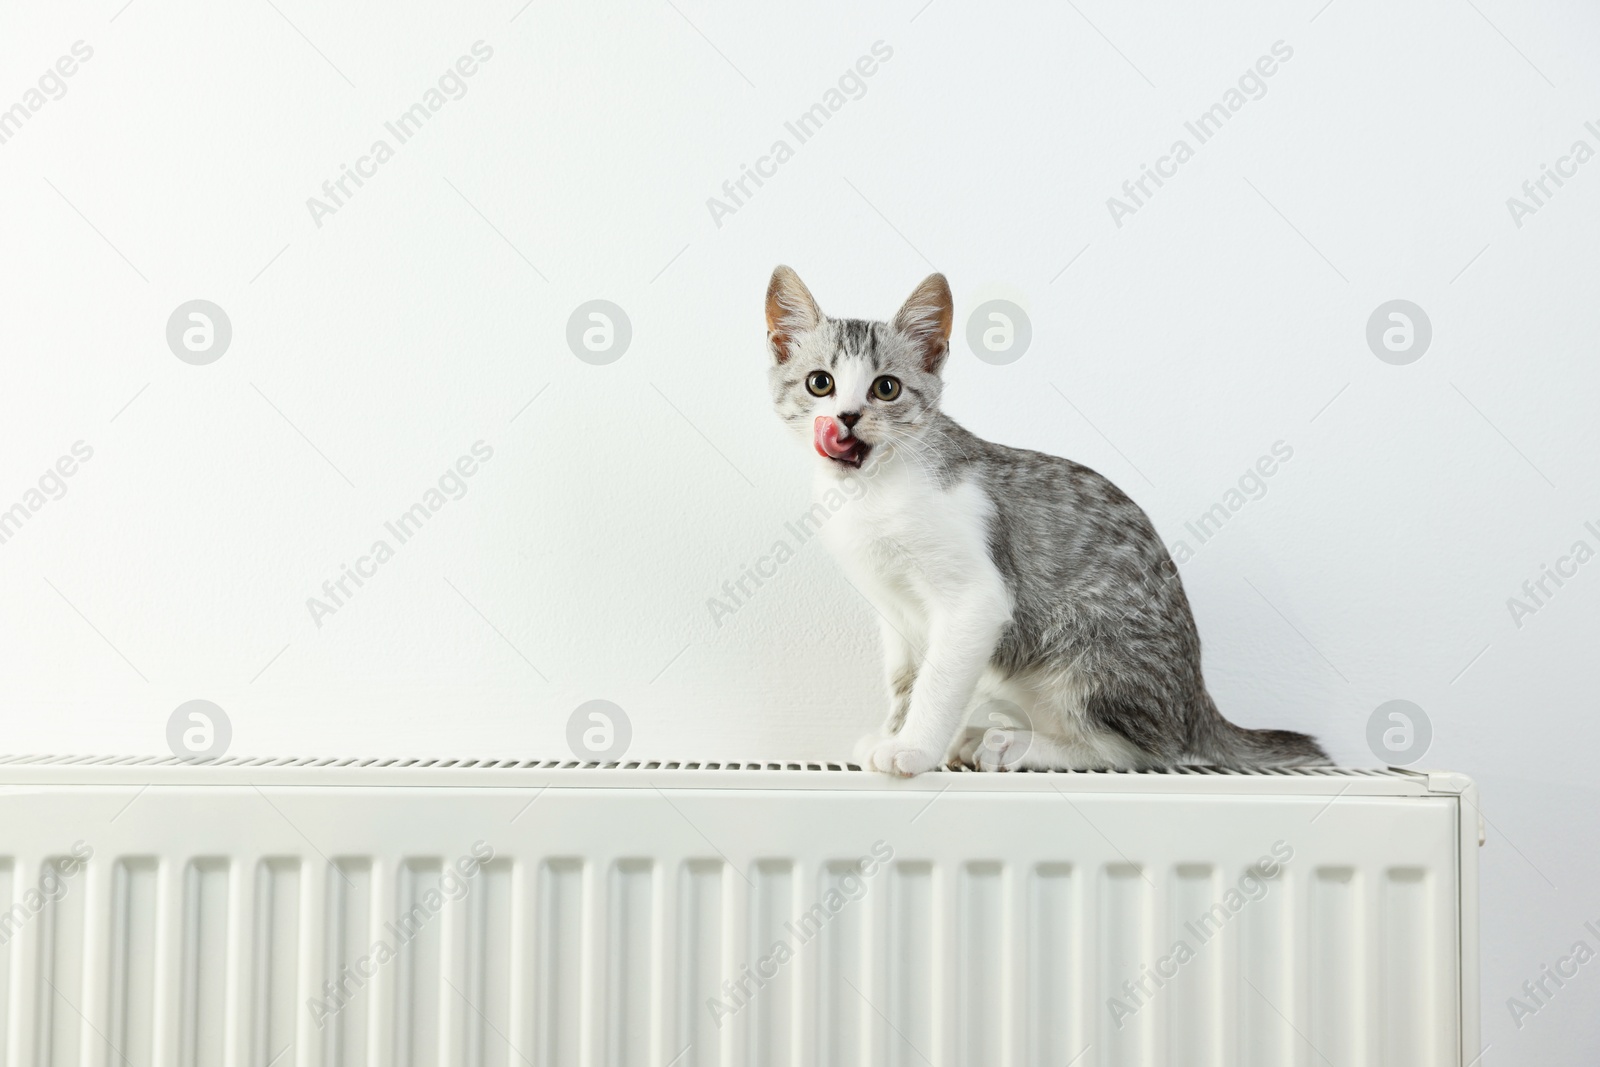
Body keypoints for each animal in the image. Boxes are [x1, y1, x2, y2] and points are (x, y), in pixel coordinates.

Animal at [768, 267, 1331, 780]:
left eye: (886, 388)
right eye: (820, 383)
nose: (846, 417)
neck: (873, 489)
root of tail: (1196, 700)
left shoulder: (977, 601)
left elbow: (937, 681)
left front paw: (912, 748)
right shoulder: (895, 611)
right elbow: (905, 680)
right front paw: (892, 732)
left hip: (1088, 646)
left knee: (1138, 751)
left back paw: (1013, 745)